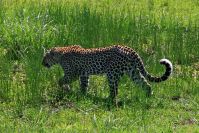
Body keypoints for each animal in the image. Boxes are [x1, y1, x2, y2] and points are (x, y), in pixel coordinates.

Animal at [42, 45, 173, 102]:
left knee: (115, 90)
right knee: (146, 84)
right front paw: (82, 95)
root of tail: (129, 48)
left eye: (44, 57)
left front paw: (65, 88)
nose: (42, 63)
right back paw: (148, 96)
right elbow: (84, 85)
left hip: (112, 74)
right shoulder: (84, 74)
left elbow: (61, 80)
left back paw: (107, 99)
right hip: (133, 72)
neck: (60, 53)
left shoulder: (72, 74)